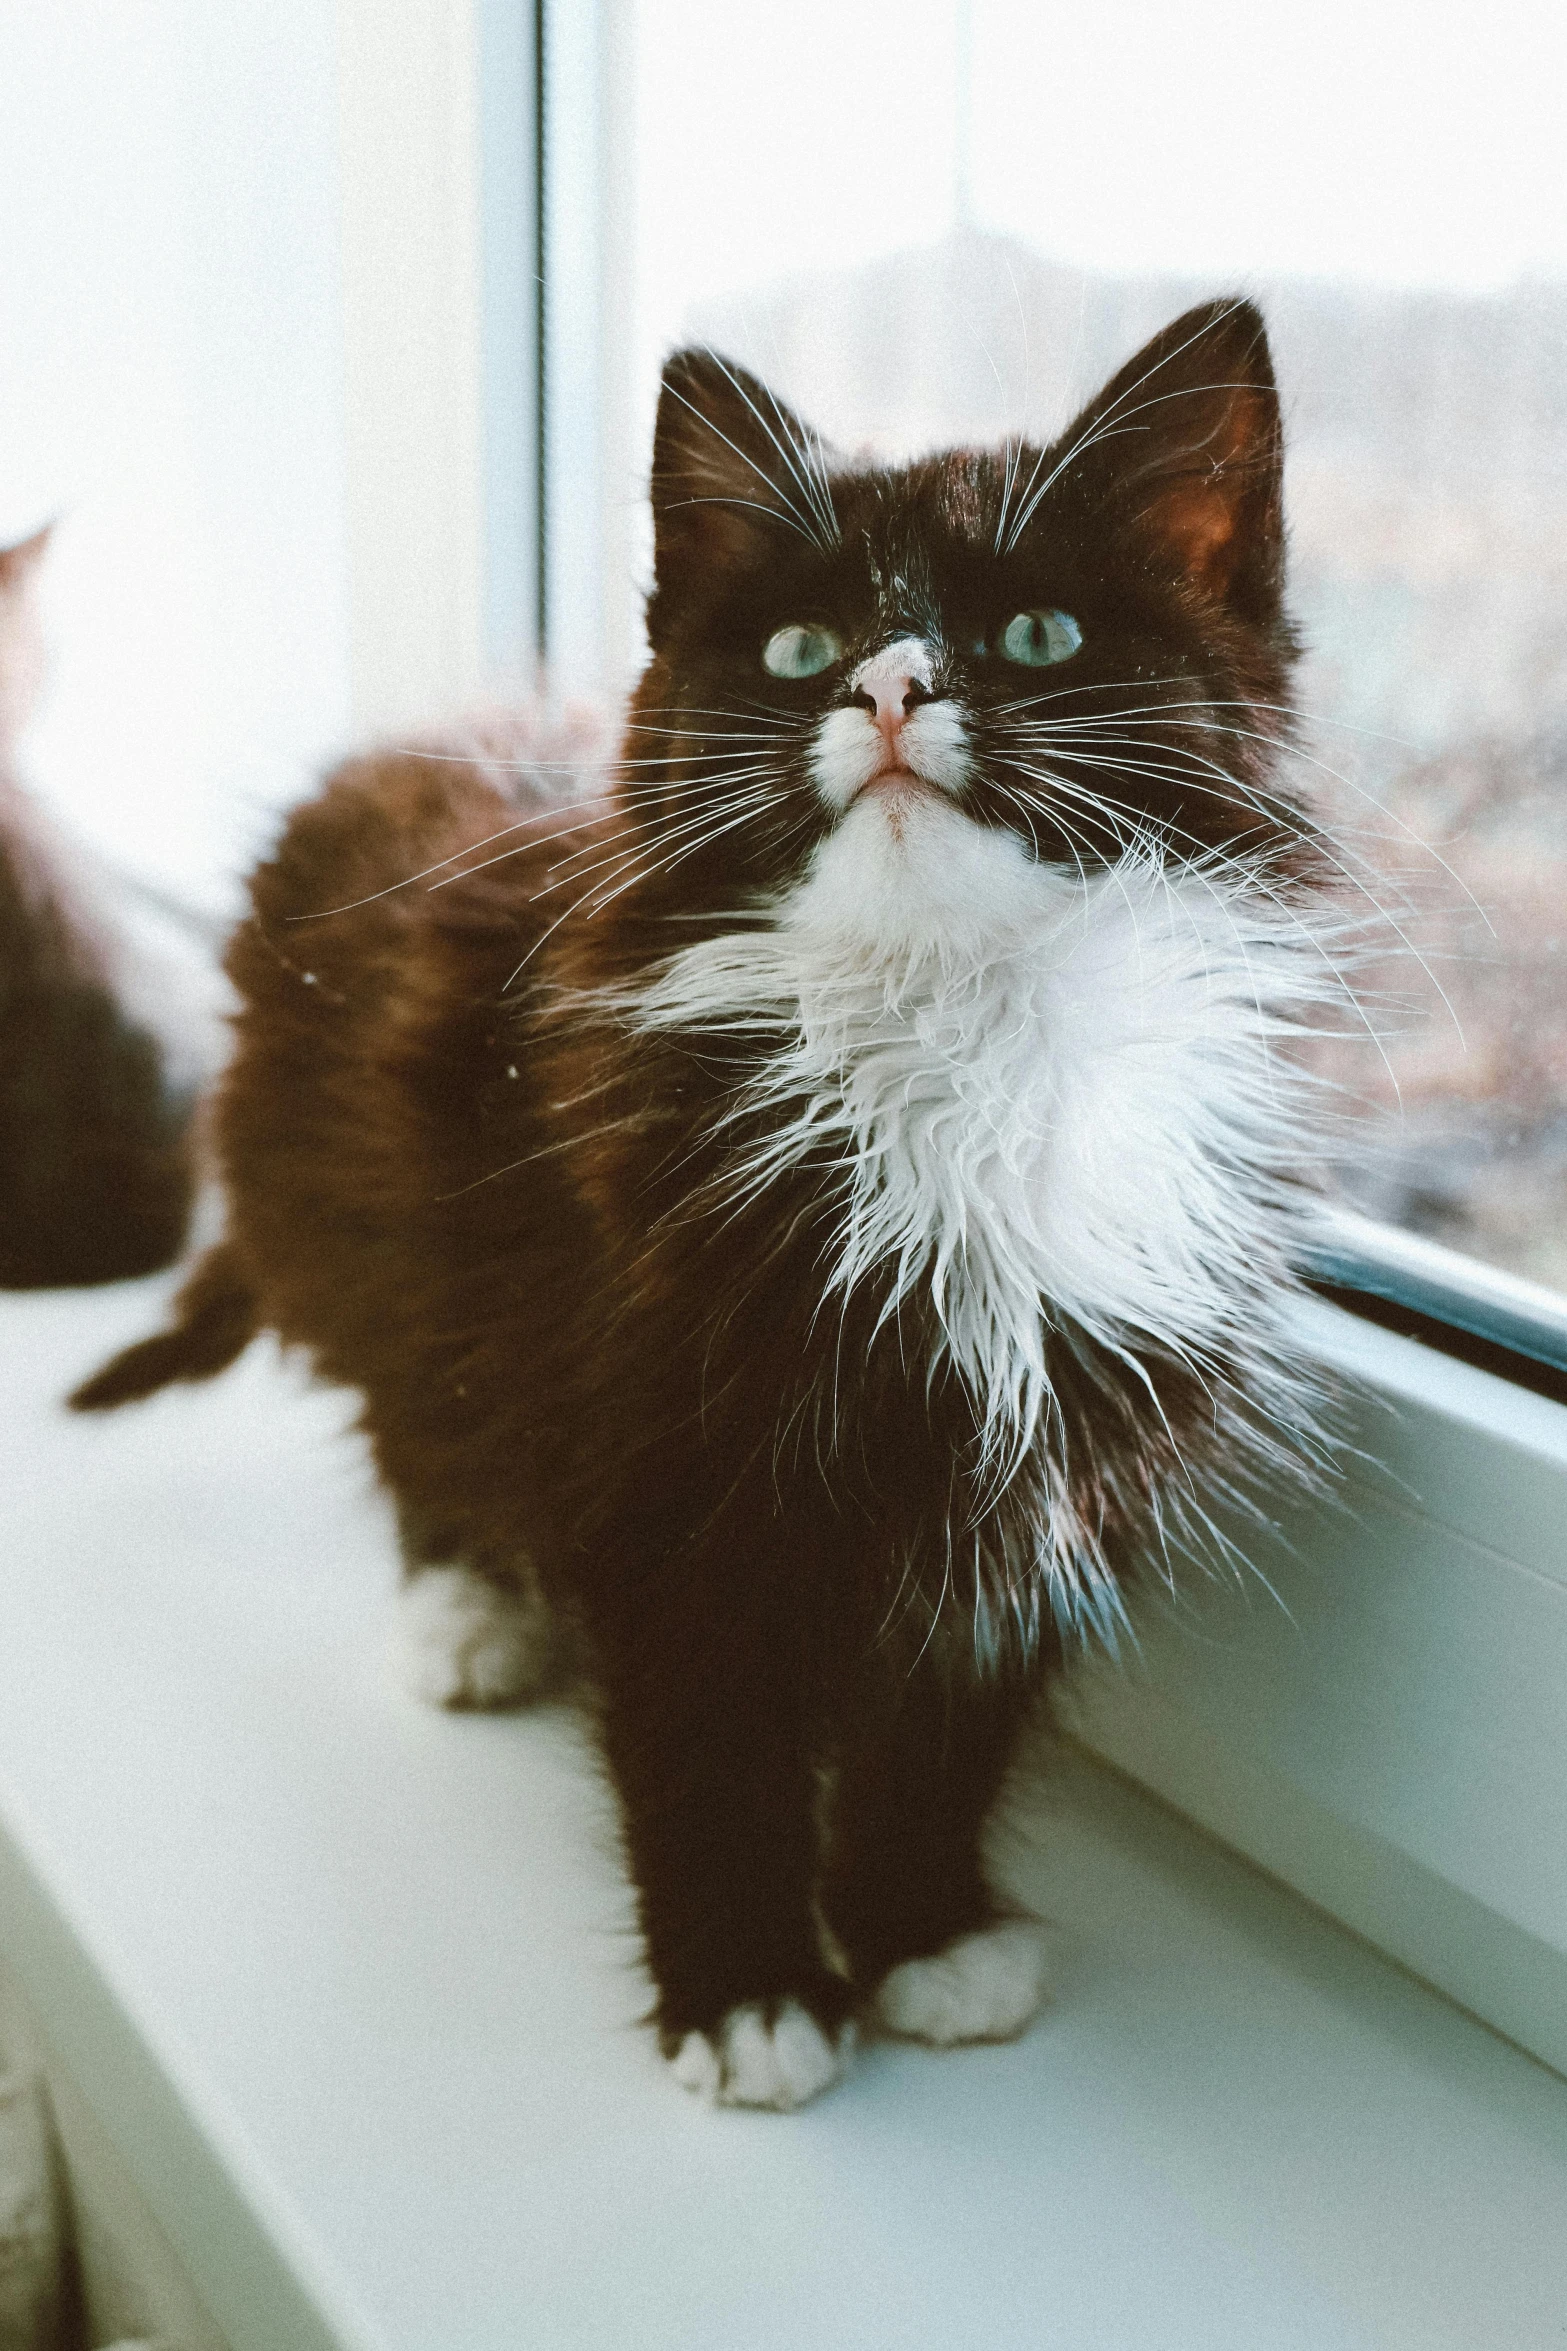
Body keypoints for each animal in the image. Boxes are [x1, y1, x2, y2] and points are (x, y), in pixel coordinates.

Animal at [76, 298, 1353, 2115]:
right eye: (802, 652)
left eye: (1035, 632)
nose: (891, 682)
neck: (941, 1033)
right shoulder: (649, 1442)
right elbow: (705, 1729)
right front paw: (747, 1987)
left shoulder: (1039, 1439)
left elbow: (939, 1719)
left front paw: (917, 1930)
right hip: (370, 1222)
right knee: (411, 1396)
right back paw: (465, 1607)